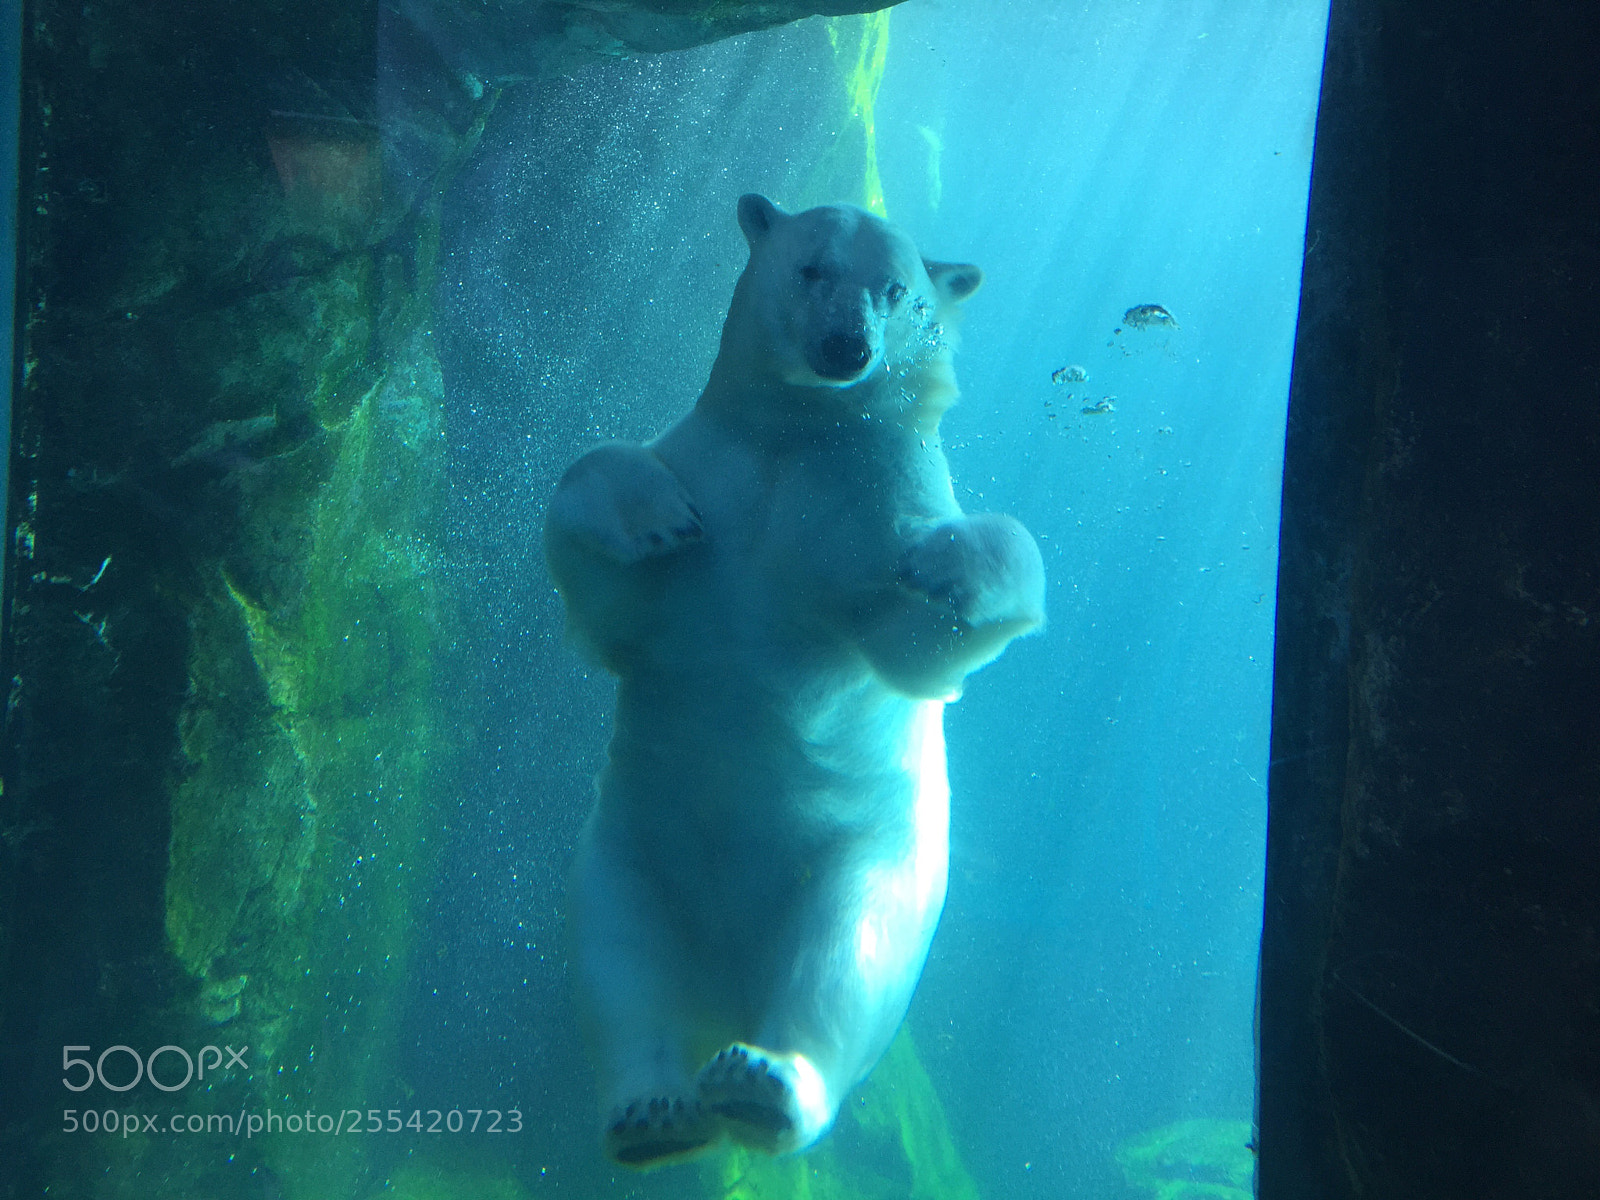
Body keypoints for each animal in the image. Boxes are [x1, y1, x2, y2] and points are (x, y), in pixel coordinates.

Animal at [544, 194, 1045, 1168]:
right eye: (813, 269)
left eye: (897, 291)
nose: (846, 347)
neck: (797, 439)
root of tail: (724, 994)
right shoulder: (716, 468)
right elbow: (606, 567)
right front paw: (656, 516)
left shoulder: (875, 504)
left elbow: (916, 643)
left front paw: (946, 568)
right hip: (623, 855)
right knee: (618, 966)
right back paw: (655, 1113)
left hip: (865, 860)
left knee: (843, 962)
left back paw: (762, 1080)